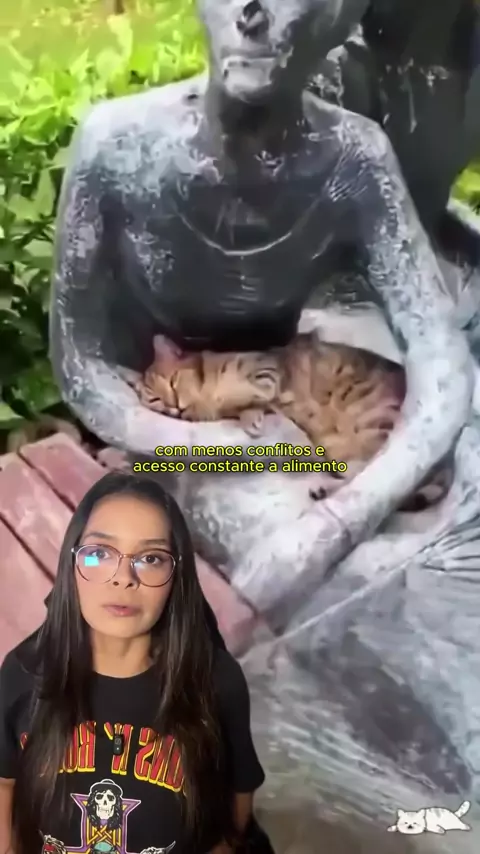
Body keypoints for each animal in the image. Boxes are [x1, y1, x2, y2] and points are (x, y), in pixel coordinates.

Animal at [133, 334, 452, 508]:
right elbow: (242, 405)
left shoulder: (266, 370)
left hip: (373, 423)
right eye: (156, 401)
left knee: (376, 474)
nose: (174, 406)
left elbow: (251, 391)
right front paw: (244, 413)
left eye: (172, 382)